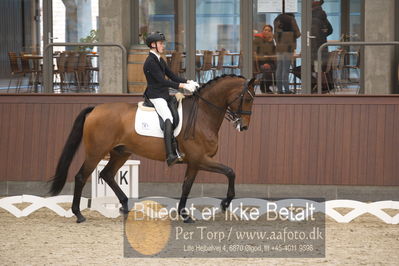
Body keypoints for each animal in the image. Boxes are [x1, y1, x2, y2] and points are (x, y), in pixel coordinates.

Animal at [50, 74, 256, 222]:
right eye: (247, 99)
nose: (244, 126)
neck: (203, 115)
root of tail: (95, 109)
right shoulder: (200, 159)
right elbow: (229, 172)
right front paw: (224, 203)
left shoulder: (195, 162)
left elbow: (188, 186)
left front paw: (185, 214)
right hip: (96, 152)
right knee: (81, 176)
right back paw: (78, 214)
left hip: (120, 153)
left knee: (107, 174)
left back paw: (125, 206)